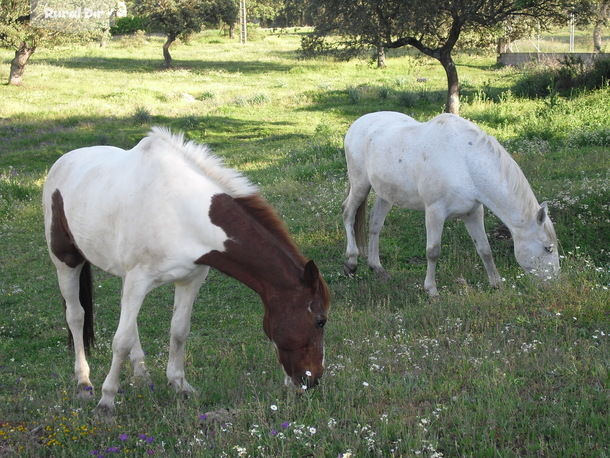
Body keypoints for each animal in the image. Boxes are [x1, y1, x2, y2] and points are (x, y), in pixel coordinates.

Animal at [42, 128, 328, 418]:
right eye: (320, 321)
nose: (313, 380)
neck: (179, 208)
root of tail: (63, 161)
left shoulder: (190, 279)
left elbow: (178, 330)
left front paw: (179, 385)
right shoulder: (138, 280)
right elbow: (119, 341)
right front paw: (106, 401)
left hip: (123, 276)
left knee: (129, 324)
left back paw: (142, 376)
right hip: (66, 262)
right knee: (76, 317)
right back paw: (84, 383)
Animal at [340, 112, 560, 296]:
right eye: (548, 248)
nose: (554, 284)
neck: (465, 162)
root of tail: (358, 123)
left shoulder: (473, 212)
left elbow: (484, 249)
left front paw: (496, 284)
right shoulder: (434, 212)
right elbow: (433, 252)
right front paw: (431, 291)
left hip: (387, 194)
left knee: (375, 223)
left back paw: (377, 268)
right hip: (360, 185)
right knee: (348, 213)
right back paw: (351, 263)